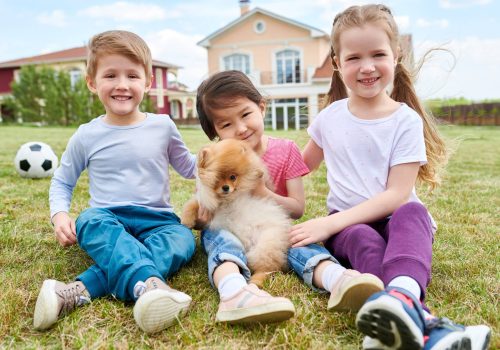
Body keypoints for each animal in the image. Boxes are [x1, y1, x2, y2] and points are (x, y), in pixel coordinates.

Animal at [181, 138, 290, 286]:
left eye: (233, 177)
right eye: (217, 179)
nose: (226, 187)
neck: (225, 200)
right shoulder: (205, 203)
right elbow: (191, 205)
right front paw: (186, 221)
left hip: (266, 244)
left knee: (268, 267)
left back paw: (255, 282)